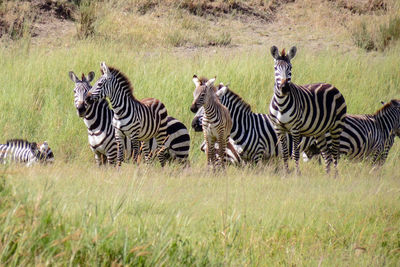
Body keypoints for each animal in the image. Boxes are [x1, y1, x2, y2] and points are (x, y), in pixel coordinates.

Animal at [268, 45, 346, 176]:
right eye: (275, 68)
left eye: (290, 68)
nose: (284, 88)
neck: (281, 104)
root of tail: (332, 86)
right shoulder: (279, 129)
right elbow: (284, 154)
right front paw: (286, 174)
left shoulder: (295, 129)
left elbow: (295, 154)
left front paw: (297, 174)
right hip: (320, 131)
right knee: (327, 155)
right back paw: (327, 176)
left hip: (337, 127)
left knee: (335, 153)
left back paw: (335, 176)